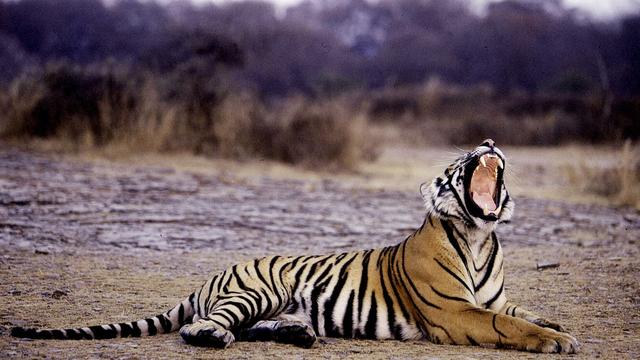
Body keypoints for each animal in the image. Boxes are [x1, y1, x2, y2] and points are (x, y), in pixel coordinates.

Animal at [10, 139, 580, 352]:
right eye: (458, 159)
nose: (488, 142)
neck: (480, 237)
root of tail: (210, 276)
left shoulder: (495, 298)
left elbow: (520, 310)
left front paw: (556, 323)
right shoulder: (456, 313)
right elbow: (506, 324)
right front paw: (558, 341)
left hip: (273, 303)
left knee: (256, 326)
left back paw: (299, 335)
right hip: (256, 290)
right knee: (205, 326)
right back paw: (215, 337)